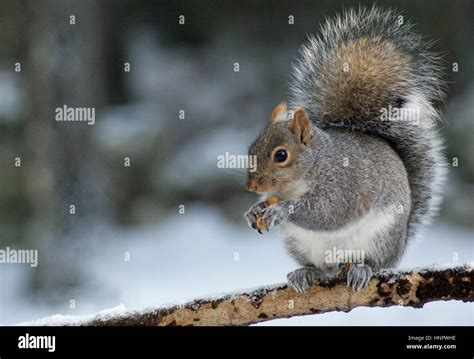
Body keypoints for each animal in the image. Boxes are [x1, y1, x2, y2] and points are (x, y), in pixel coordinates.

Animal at [243, 7, 446, 292]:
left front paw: (279, 211)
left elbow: (328, 211)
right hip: (301, 245)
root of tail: (401, 242)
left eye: (281, 155)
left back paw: (362, 269)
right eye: (252, 147)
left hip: (380, 238)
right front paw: (254, 211)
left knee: (376, 263)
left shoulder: (344, 186)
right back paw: (305, 273)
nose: (252, 186)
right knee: (322, 269)